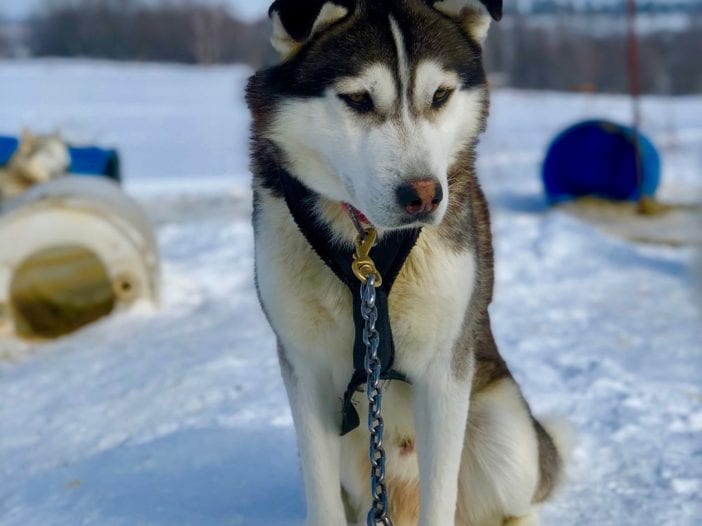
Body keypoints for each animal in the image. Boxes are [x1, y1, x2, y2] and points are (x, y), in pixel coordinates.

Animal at [250, 2, 568, 524]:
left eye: (439, 95)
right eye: (358, 99)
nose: (424, 196)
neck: (365, 247)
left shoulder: (443, 370)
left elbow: (440, 496)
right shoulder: (305, 367)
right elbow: (322, 500)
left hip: (506, 436)